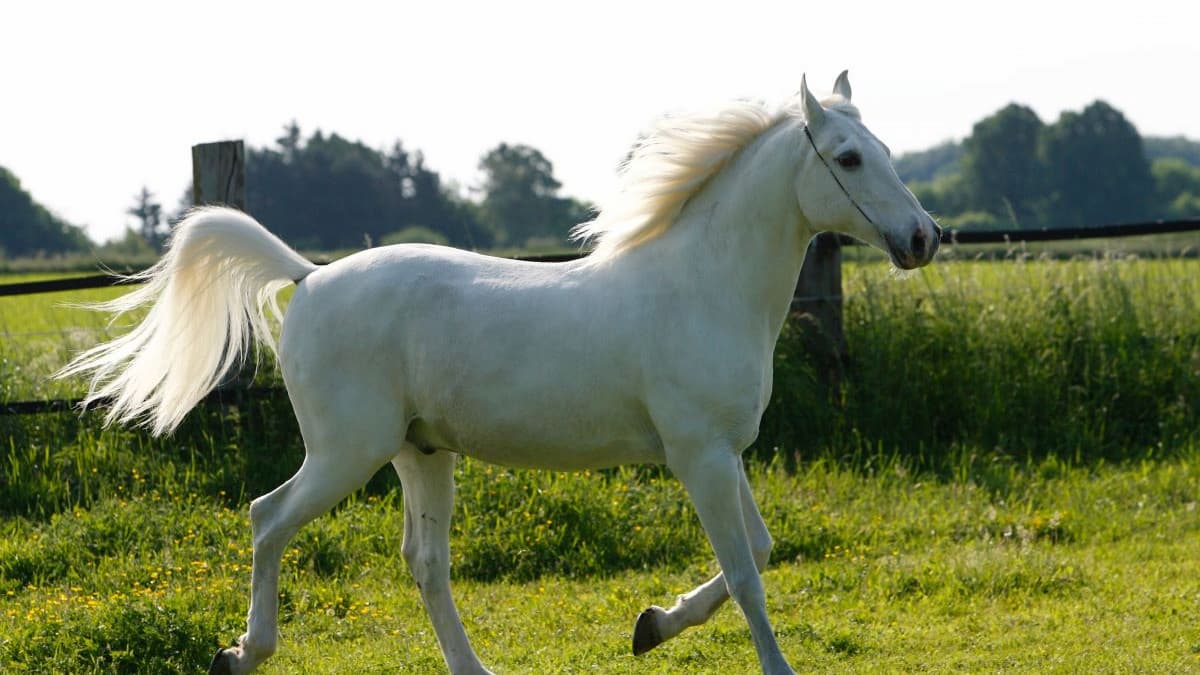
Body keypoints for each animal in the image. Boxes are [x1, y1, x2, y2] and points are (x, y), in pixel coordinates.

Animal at [58, 71, 939, 675]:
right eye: (850, 158)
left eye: (888, 151)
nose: (924, 237)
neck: (703, 287)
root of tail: (307, 277)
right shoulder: (700, 455)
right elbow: (748, 572)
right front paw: (765, 662)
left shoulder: (722, 453)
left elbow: (756, 549)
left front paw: (650, 623)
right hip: (348, 452)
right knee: (268, 517)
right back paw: (241, 652)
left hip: (421, 453)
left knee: (423, 563)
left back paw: (472, 667)